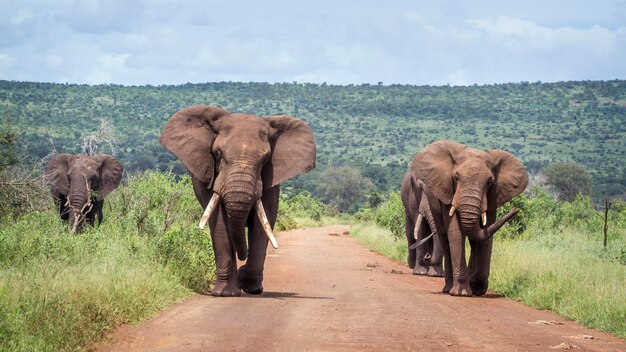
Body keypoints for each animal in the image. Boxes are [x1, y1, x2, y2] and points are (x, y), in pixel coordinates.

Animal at [160, 105, 316, 296]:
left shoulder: (270, 180)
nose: (243, 256)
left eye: (265, 159)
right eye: (218, 154)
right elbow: (219, 222)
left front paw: (250, 287)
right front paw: (224, 294)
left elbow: (262, 222)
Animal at [410, 140, 528, 296]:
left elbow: (485, 234)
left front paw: (477, 288)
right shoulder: (450, 192)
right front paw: (462, 293)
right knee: (446, 240)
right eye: (456, 177)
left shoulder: (492, 197)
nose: (516, 209)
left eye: (489, 182)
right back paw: (448, 289)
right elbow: (455, 233)